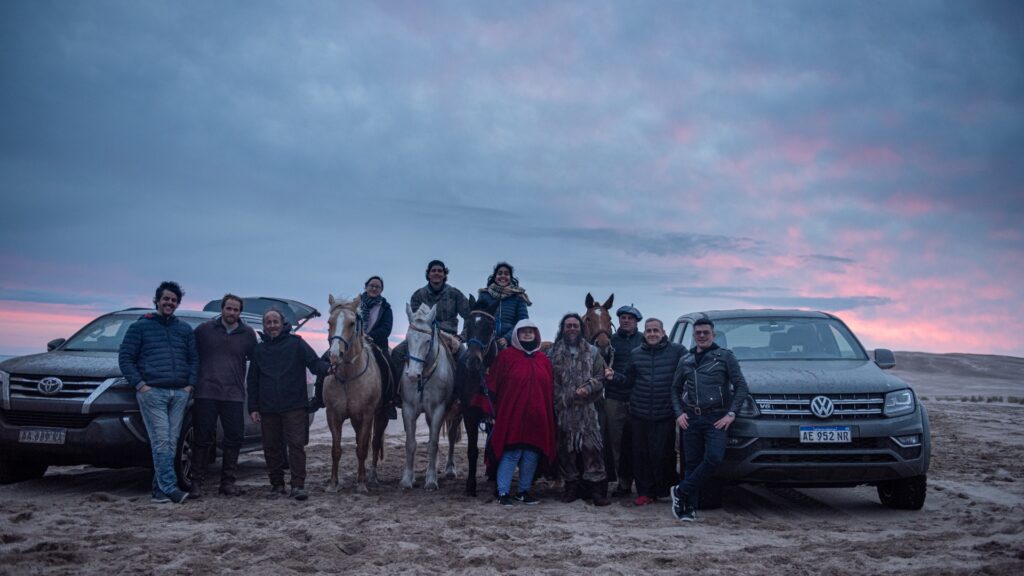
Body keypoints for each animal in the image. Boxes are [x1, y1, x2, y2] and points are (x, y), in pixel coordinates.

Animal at [323, 293, 385, 491]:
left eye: (352, 323)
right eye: (329, 322)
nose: (335, 355)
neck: (348, 378)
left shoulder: (367, 414)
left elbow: (363, 448)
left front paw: (361, 484)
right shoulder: (333, 415)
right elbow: (336, 450)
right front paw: (333, 484)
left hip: (380, 415)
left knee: (374, 443)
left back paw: (371, 476)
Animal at [399, 301, 456, 487]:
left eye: (428, 340)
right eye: (408, 338)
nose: (412, 375)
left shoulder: (438, 410)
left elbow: (434, 444)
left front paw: (431, 480)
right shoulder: (408, 409)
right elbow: (411, 443)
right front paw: (407, 479)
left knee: (451, 437)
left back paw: (450, 469)